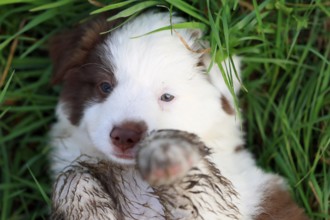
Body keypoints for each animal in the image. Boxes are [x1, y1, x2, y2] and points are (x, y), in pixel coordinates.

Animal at [49, 11, 310, 219]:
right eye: (105, 86)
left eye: (167, 96)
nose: (125, 136)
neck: (130, 171)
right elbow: (71, 178)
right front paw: (91, 211)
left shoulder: (228, 203)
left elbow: (200, 186)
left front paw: (167, 154)